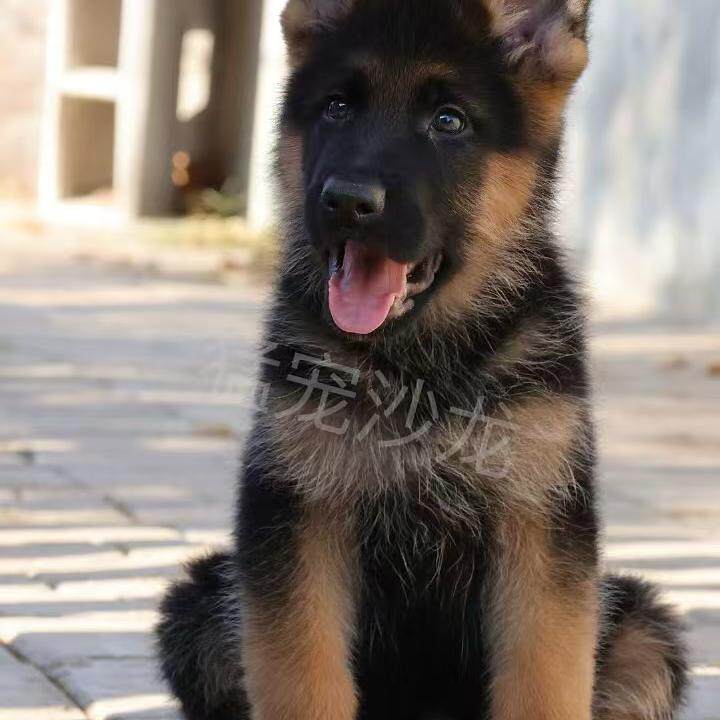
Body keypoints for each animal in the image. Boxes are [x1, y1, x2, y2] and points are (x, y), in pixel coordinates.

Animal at [157, 1, 688, 718]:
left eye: (449, 122)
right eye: (336, 108)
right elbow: (305, 679)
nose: (347, 202)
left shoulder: (538, 525)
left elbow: (542, 680)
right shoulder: (299, 517)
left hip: (641, 626)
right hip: (202, 604)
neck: (421, 370)